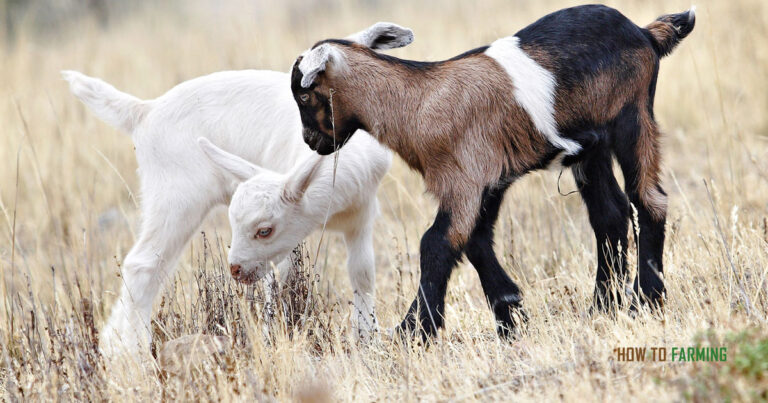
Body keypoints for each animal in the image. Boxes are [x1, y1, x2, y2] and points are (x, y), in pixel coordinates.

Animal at [63, 21, 410, 356]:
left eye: (263, 230)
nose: (235, 270)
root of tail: (144, 111)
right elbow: (280, 281)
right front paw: (275, 338)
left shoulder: (360, 216)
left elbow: (362, 274)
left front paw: (367, 338)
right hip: (175, 197)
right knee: (143, 265)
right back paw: (129, 351)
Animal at [290, 5, 696, 338]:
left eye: (305, 94)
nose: (311, 141)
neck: (417, 101)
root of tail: (645, 33)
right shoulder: (490, 181)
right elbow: (476, 241)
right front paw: (511, 315)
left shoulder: (465, 178)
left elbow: (436, 243)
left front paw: (413, 332)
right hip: (591, 148)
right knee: (609, 214)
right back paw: (602, 307)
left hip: (632, 117)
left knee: (648, 200)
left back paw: (646, 300)